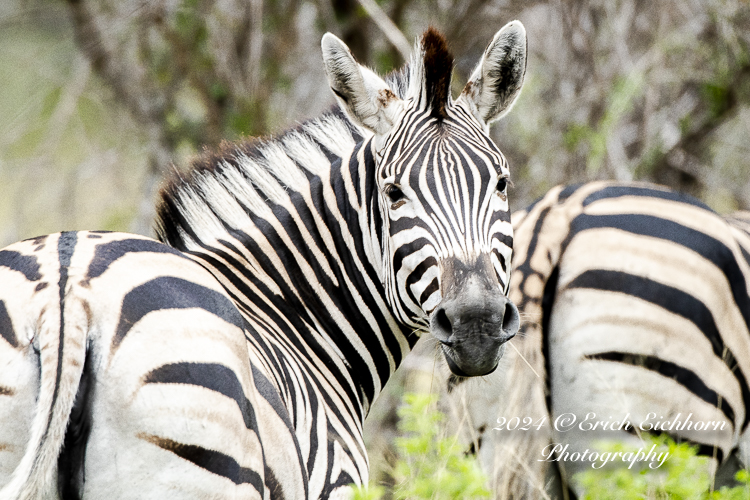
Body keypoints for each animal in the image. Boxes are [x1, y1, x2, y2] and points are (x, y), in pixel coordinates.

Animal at [0, 23, 528, 500]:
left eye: (501, 184)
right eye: (394, 192)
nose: (476, 322)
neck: (293, 318)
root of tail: (69, 296)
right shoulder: (335, 484)